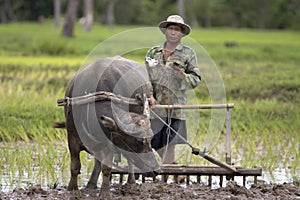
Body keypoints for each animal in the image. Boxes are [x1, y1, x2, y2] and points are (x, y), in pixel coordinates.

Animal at [59, 56, 162, 198]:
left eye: (151, 139)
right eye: (139, 141)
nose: (156, 170)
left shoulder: (110, 143)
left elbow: (106, 168)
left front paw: (105, 192)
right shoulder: (72, 139)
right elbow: (75, 166)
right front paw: (71, 188)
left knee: (128, 161)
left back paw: (131, 181)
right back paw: (91, 184)